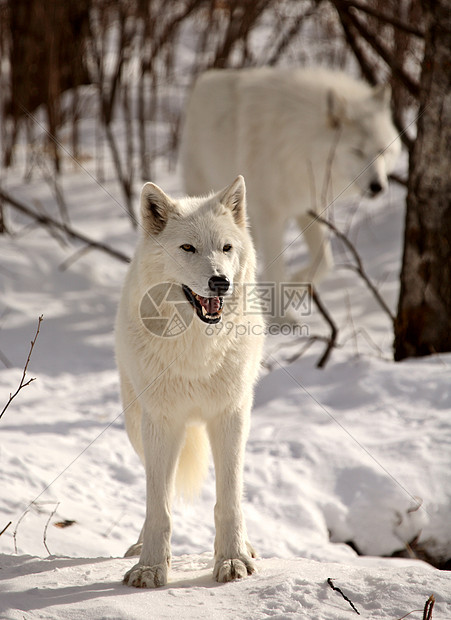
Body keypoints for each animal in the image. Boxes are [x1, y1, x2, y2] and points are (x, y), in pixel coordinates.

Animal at [115, 177, 266, 588]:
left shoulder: (231, 416)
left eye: (226, 248)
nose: (220, 282)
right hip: (136, 427)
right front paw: (150, 567)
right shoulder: (161, 423)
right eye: (188, 248)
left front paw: (233, 559)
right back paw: (138, 547)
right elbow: (158, 507)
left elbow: (229, 500)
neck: (198, 350)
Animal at [180, 68, 402, 298]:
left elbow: (326, 261)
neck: (301, 142)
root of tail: (203, 79)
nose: (378, 186)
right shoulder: (270, 218)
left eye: (382, 151)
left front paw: (297, 283)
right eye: (357, 151)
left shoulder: (307, 207)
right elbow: (276, 274)